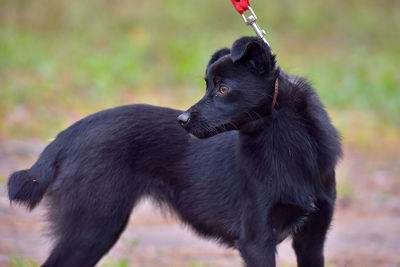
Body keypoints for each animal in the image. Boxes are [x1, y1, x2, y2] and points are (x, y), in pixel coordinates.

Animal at [7, 36, 340, 266]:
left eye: (223, 88)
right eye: (207, 85)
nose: (181, 120)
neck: (286, 144)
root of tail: (68, 134)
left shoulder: (312, 241)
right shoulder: (257, 241)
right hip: (92, 227)